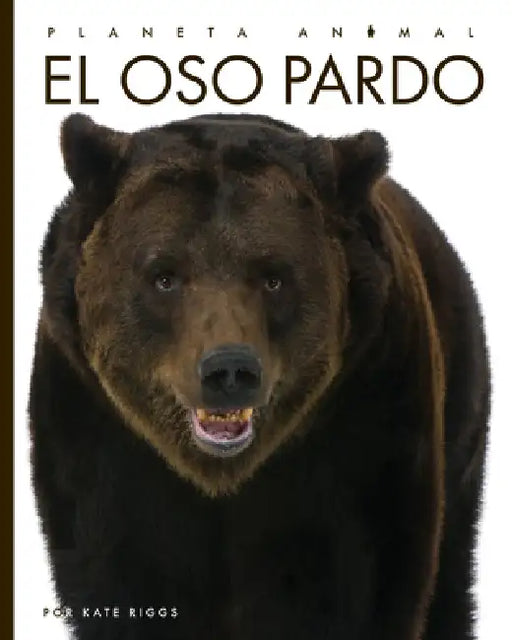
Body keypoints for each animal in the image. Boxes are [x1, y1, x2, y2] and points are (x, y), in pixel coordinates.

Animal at [29, 112, 490, 640]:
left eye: (273, 276)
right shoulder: (102, 440)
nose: (229, 369)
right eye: (164, 275)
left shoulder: (363, 429)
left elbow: (359, 583)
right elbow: (124, 578)